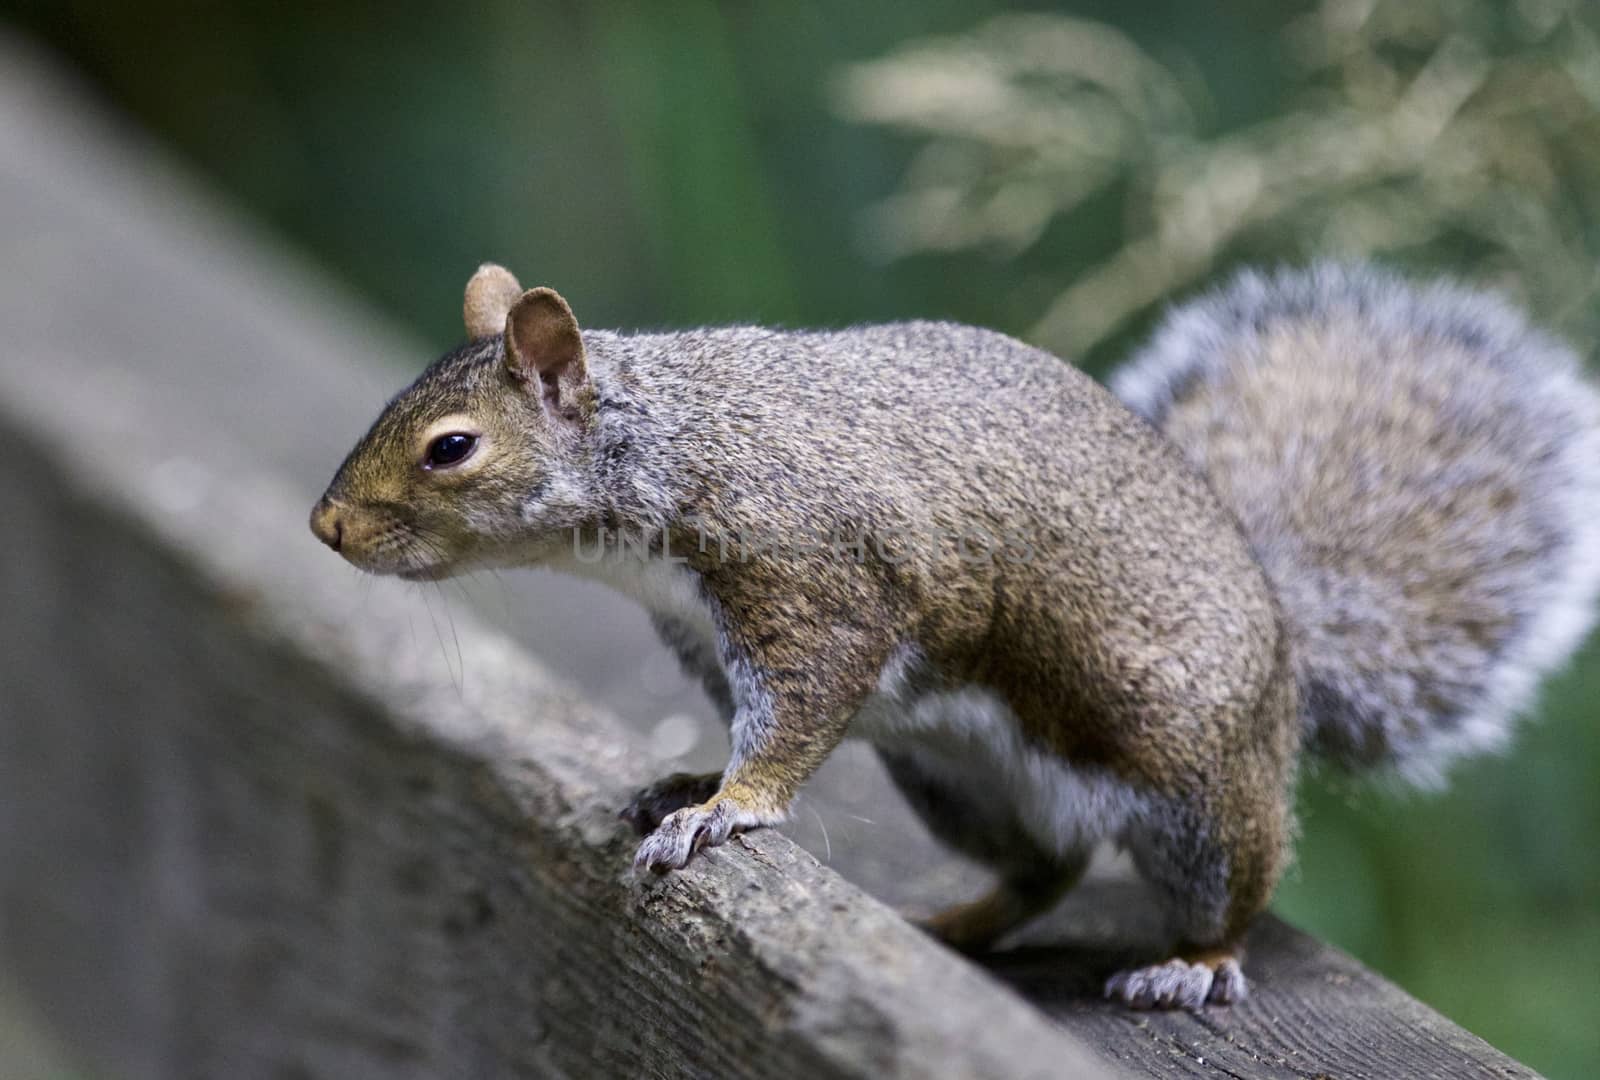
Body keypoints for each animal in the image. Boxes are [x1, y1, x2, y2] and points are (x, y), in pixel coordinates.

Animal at [308, 257, 1600, 1011]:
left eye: (451, 448)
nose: (326, 528)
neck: (669, 446)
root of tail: (1285, 631)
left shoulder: (811, 581)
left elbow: (794, 716)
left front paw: (723, 811)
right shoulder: (701, 632)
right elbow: (744, 720)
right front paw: (684, 781)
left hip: (1190, 786)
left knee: (1234, 884)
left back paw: (1192, 964)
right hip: (955, 778)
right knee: (1045, 865)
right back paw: (954, 923)